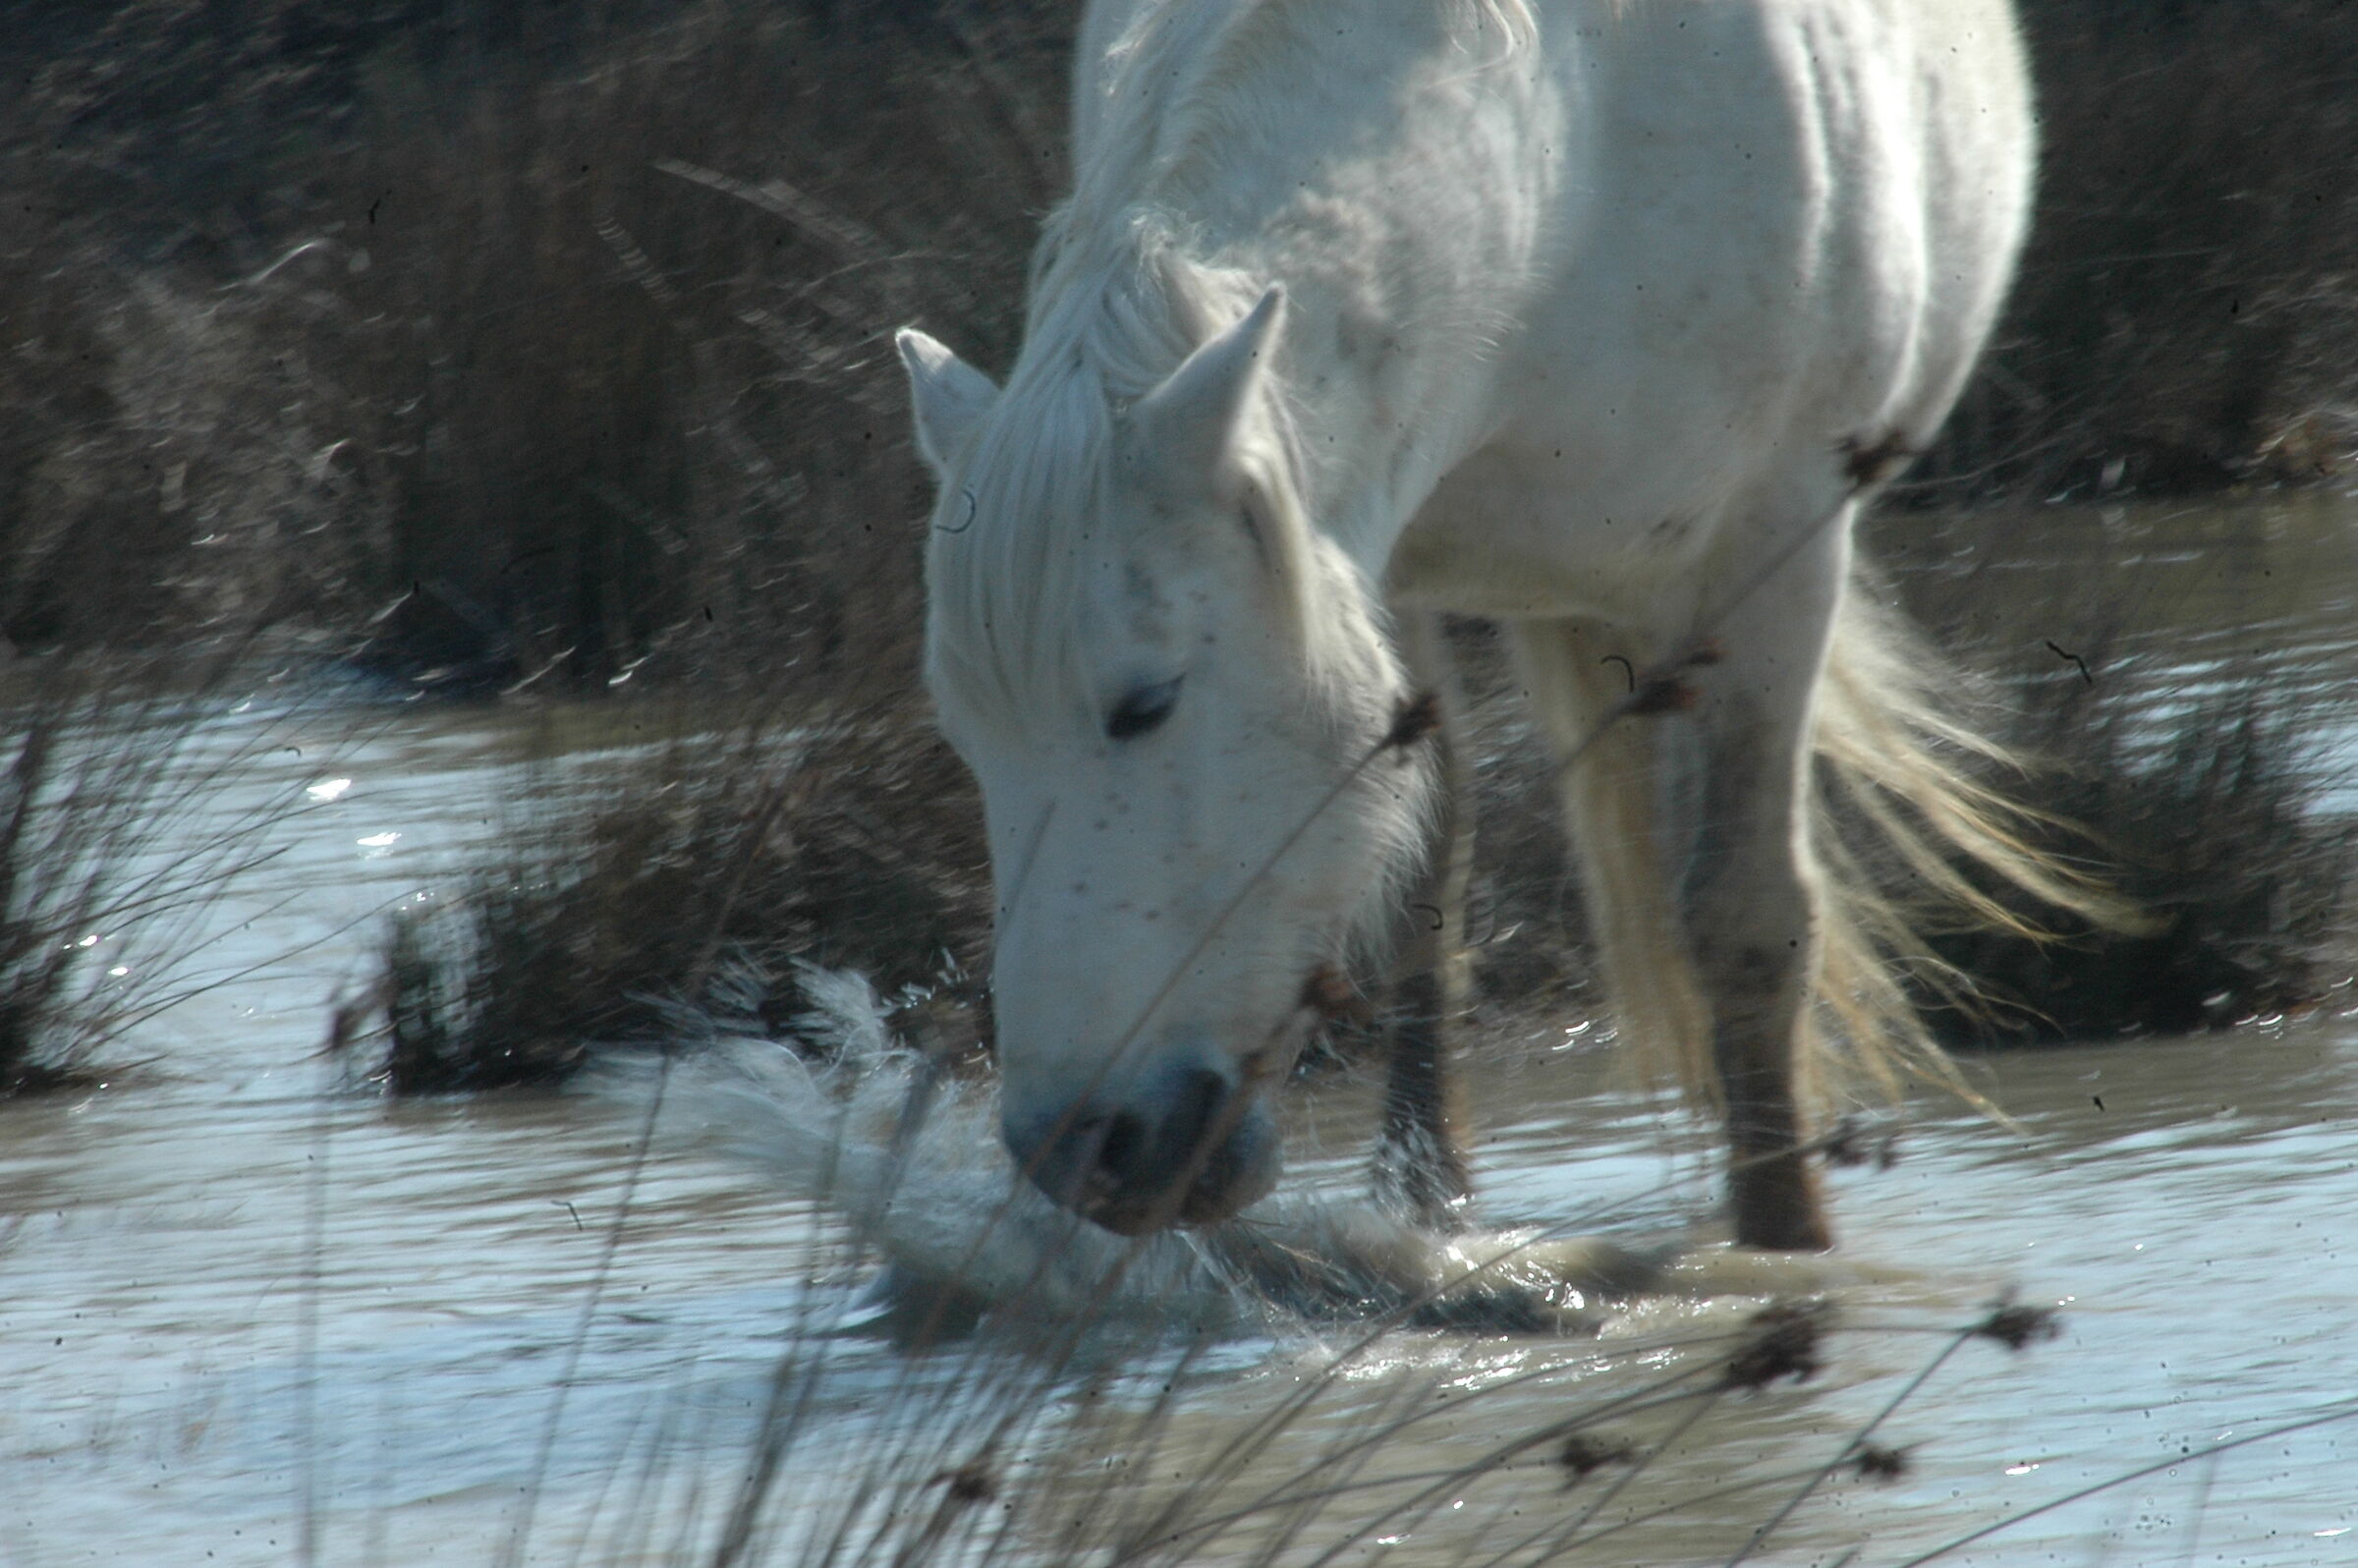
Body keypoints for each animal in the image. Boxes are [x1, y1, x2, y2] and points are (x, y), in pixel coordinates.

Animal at [895, 0, 2101, 1251]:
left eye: (1148, 704)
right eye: (967, 740)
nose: (1078, 1154)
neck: (1578, 137)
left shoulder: (1782, 546)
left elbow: (1747, 919)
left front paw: (1788, 1250)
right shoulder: (1380, 562)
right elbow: (1426, 887)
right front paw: (1426, 1220)